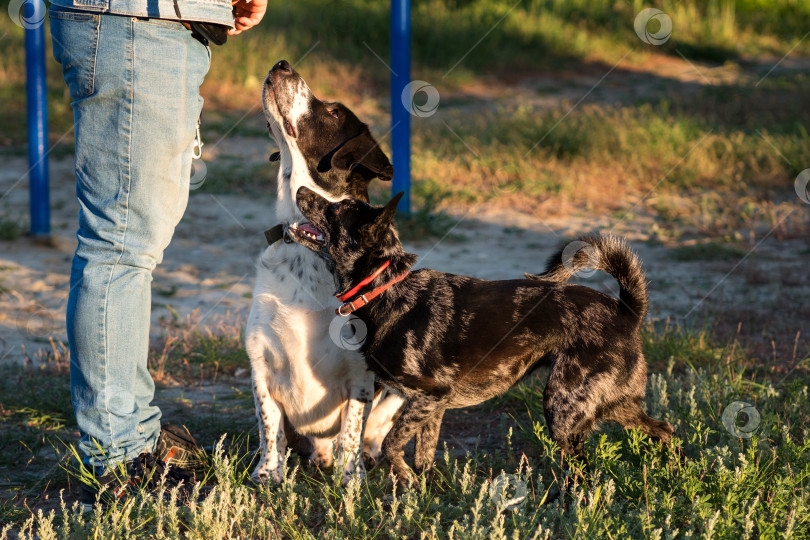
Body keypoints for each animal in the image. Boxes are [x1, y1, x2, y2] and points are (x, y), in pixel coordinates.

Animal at [241, 61, 402, 484]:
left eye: (333, 112)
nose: (282, 64)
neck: (310, 239)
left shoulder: (361, 374)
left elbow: (352, 429)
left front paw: (352, 480)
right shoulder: (261, 366)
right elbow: (270, 427)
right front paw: (269, 473)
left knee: (373, 430)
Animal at [288, 187, 672, 486]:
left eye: (337, 208)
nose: (301, 190)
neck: (385, 289)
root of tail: (626, 311)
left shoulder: (428, 397)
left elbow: (391, 445)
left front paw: (404, 478)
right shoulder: (431, 408)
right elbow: (423, 458)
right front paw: (421, 496)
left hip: (563, 410)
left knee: (583, 474)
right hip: (614, 405)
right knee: (663, 428)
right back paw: (670, 469)